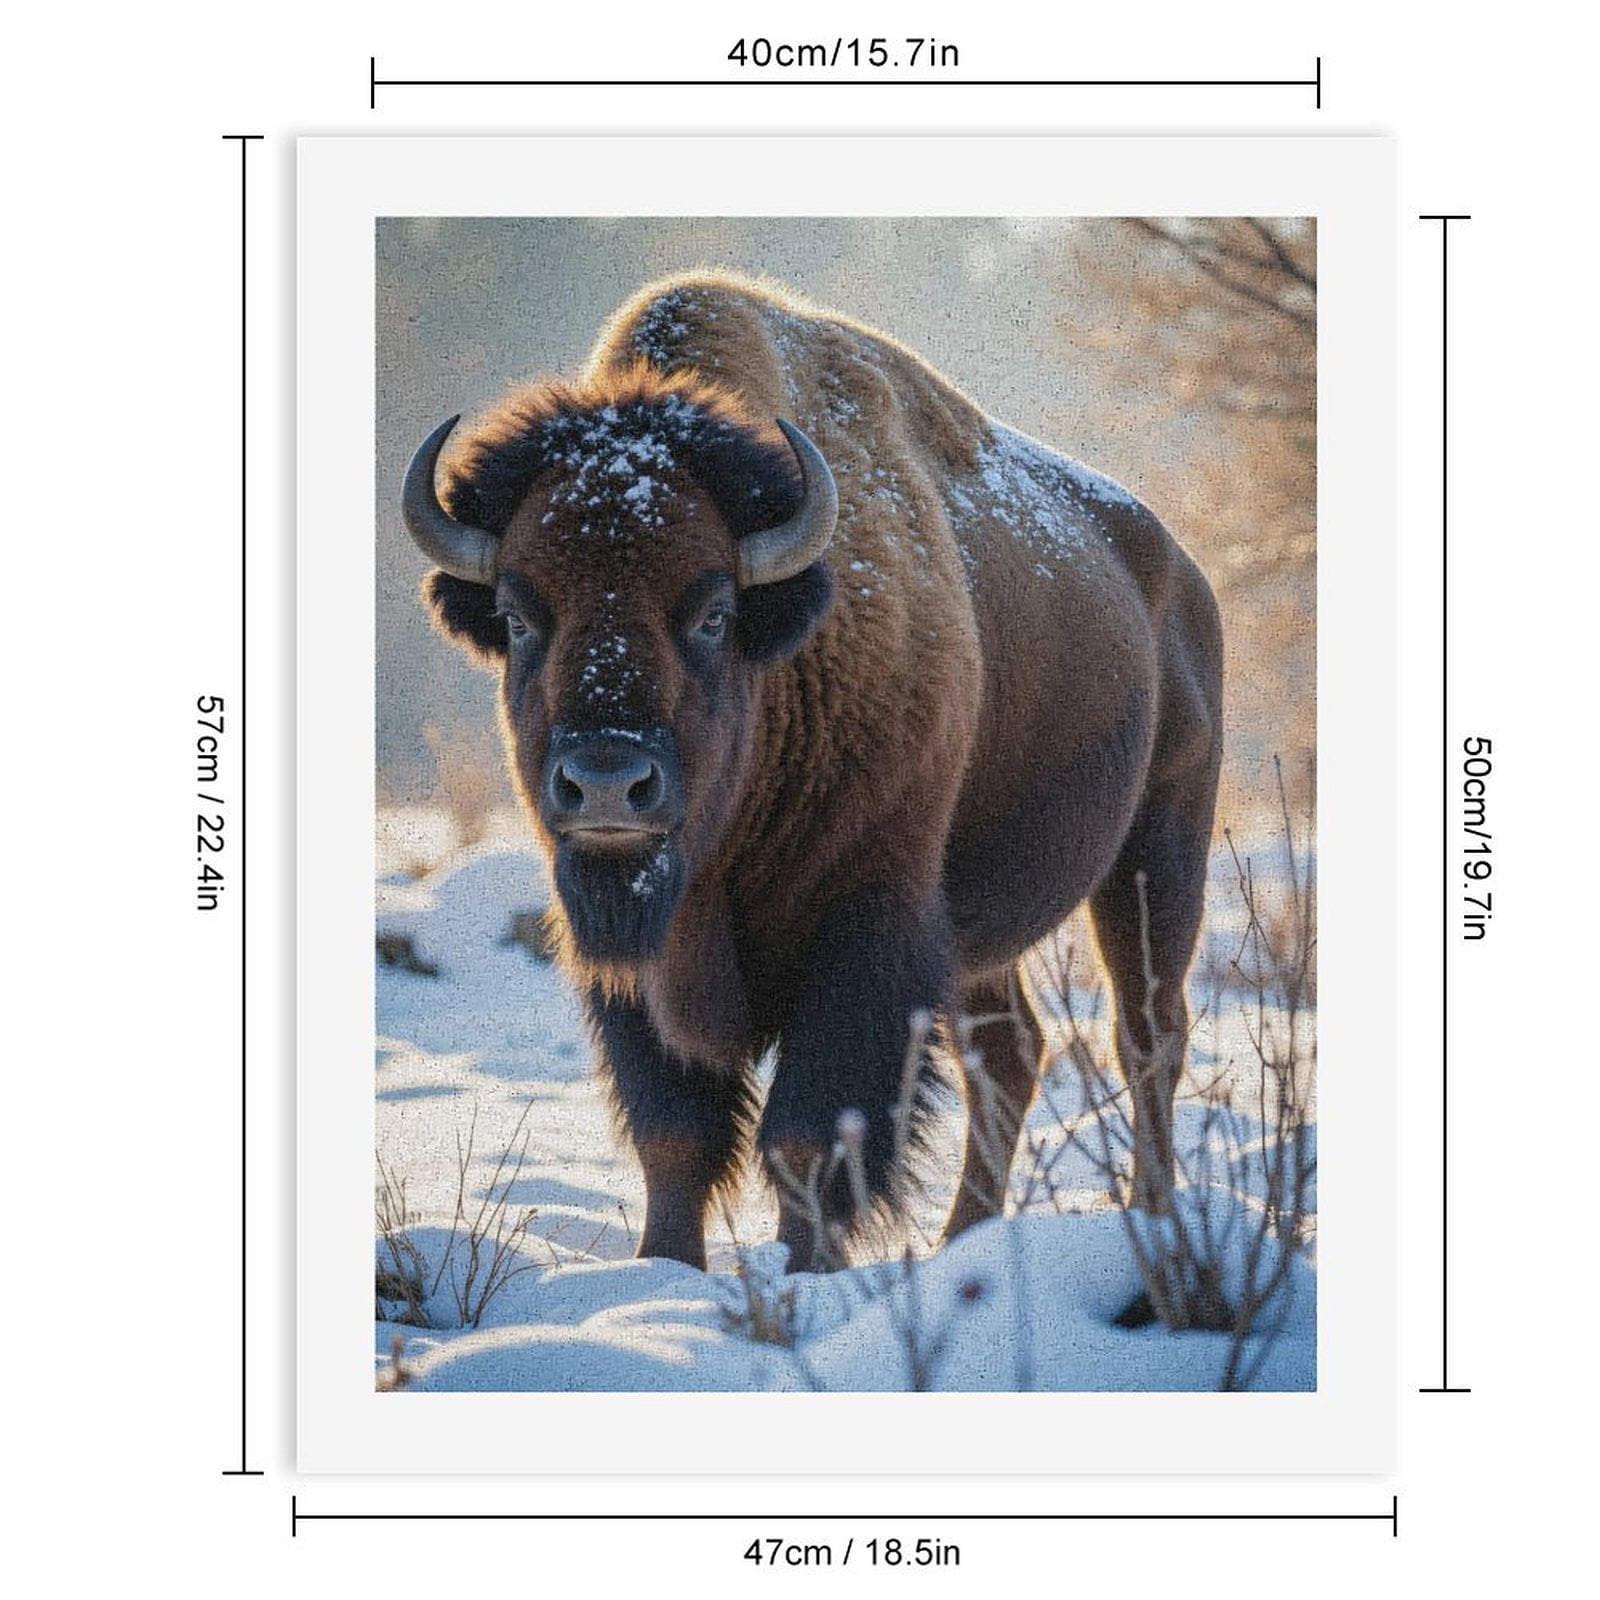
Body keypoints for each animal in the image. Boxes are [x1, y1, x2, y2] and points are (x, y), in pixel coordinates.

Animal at [401, 271, 1223, 1273]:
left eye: (713, 611)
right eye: (519, 616)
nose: (605, 782)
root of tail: (1182, 577)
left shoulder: (866, 927)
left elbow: (807, 1134)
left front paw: (806, 1272)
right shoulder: (630, 959)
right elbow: (675, 1132)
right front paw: (663, 1270)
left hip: (1158, 851)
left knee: (1146, 1032)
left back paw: (1154, 1218)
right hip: (983, 928)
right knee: (1012, 1052)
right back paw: (967, 1239)